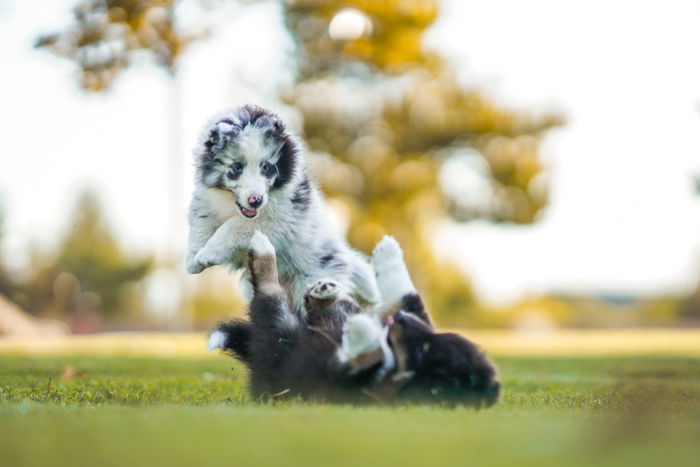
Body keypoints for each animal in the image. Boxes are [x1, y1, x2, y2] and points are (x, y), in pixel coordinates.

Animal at [208, 233, 498, 406]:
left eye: (422, 350)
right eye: (427, 340)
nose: (396, 318)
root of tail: (256, 364)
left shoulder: (347, 382)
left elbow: (350, 363)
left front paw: (362, 334)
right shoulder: (419, 317)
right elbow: (410, 296)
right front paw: (389, 253)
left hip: (279, 333)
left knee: (270, 294)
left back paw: (263, 251)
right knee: (323, 307)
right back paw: (324, 291)